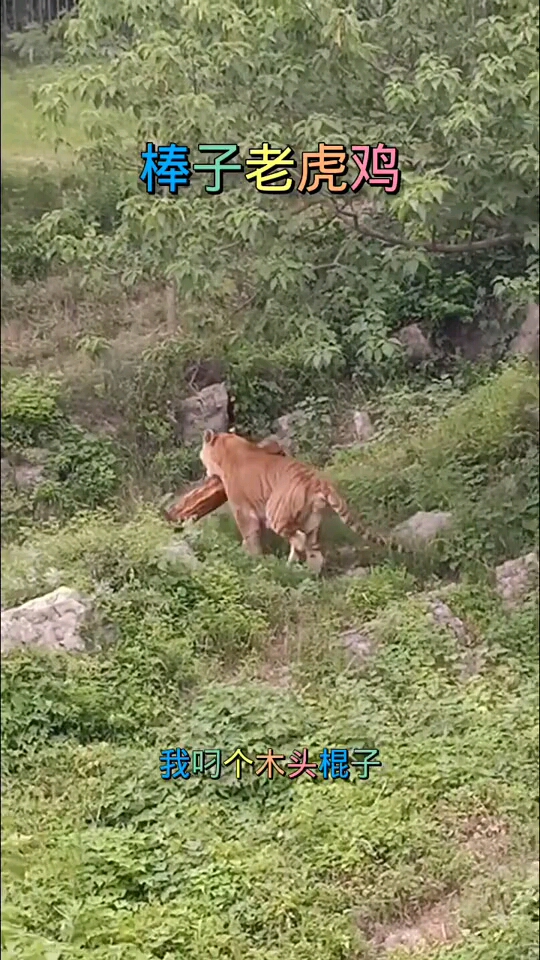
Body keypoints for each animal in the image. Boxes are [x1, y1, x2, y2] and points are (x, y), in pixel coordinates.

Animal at [200, 429, 387, 573]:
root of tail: (317, 481)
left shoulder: (243, 511)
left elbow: (250, 536)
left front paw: (252, 558)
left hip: (276, 514)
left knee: (299, 540)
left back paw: (289, 567)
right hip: (312, 522)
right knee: (315, 553)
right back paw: (306, 576)